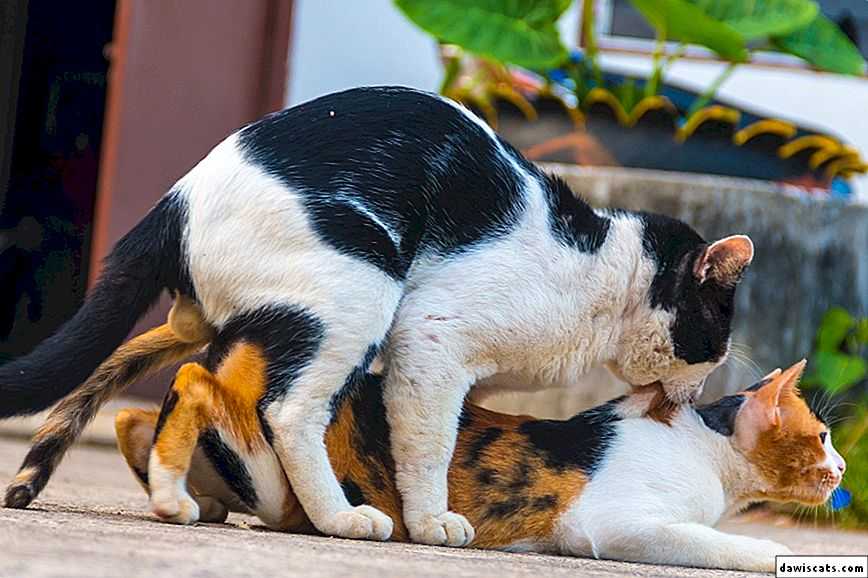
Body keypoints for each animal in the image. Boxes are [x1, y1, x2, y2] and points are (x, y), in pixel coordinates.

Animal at [0, 85, 752, 544]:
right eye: (716, 342)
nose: (703, 393)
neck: (600, 270)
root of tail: (174, 203)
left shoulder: (446, 373)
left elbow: (444, 432)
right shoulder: (430, 336)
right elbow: (427, 444)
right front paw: (430, 519)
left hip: (237, 318)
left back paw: (177, 492)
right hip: (365, 283)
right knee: (287, 411)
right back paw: (334, 516)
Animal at [112, 324, 844, 572]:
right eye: (823, 435)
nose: (841, 467)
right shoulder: (611, 523)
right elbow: (717, 542)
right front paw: (775, 554)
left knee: (128, 416)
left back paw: (187, 493)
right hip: (273, 467)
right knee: (190, 381)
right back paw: (172, 496)